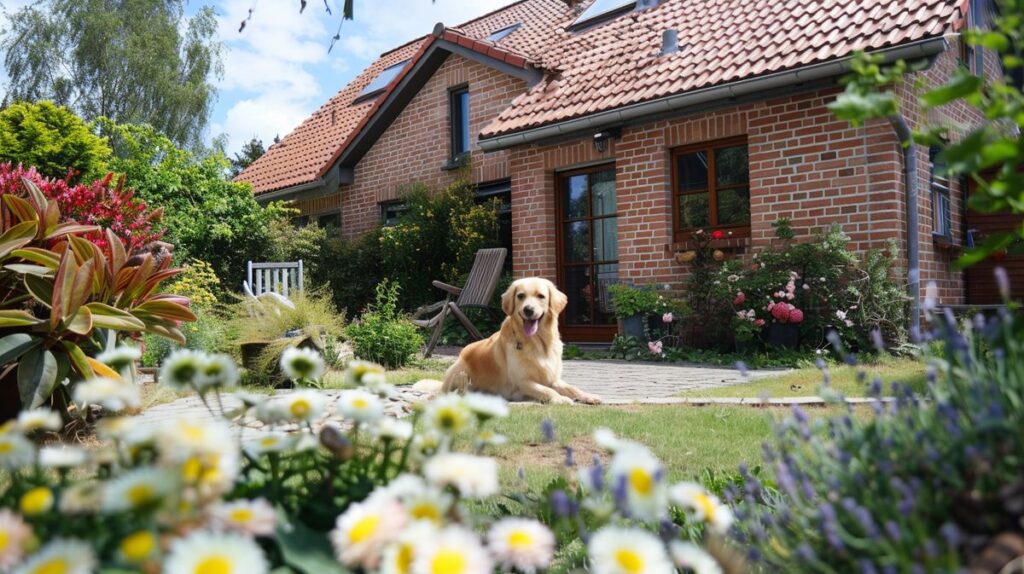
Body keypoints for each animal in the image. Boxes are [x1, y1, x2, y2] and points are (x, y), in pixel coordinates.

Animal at [440, 276, 598, 403]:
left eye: (541, 296)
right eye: (521, 296)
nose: (528, 309)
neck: (539, 342)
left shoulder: (553, 379)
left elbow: (573, 388)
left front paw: (589, 396)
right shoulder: (523, 381)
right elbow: (547, 390)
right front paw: (560, 399)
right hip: (461, 372)